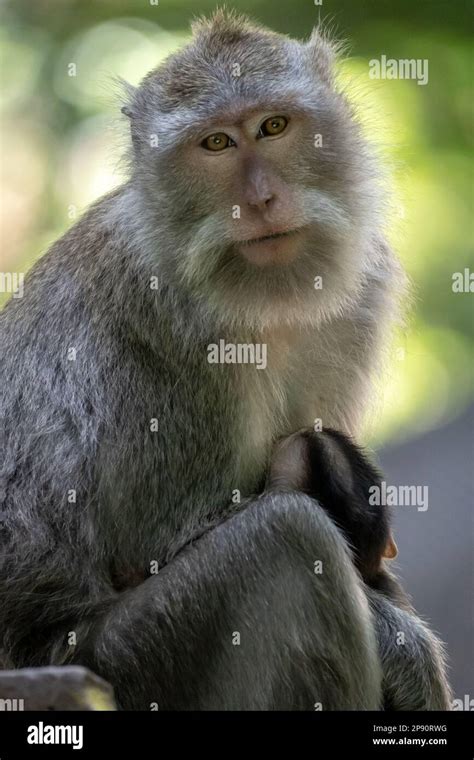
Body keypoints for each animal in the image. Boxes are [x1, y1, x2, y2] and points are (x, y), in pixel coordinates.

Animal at [0, 11, 440, 708]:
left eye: (273, 126)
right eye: (215, 144)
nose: (260, 200)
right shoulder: (164, 334)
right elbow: (158, 548)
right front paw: (407, 649)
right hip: (134, 660)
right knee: (286, 538)